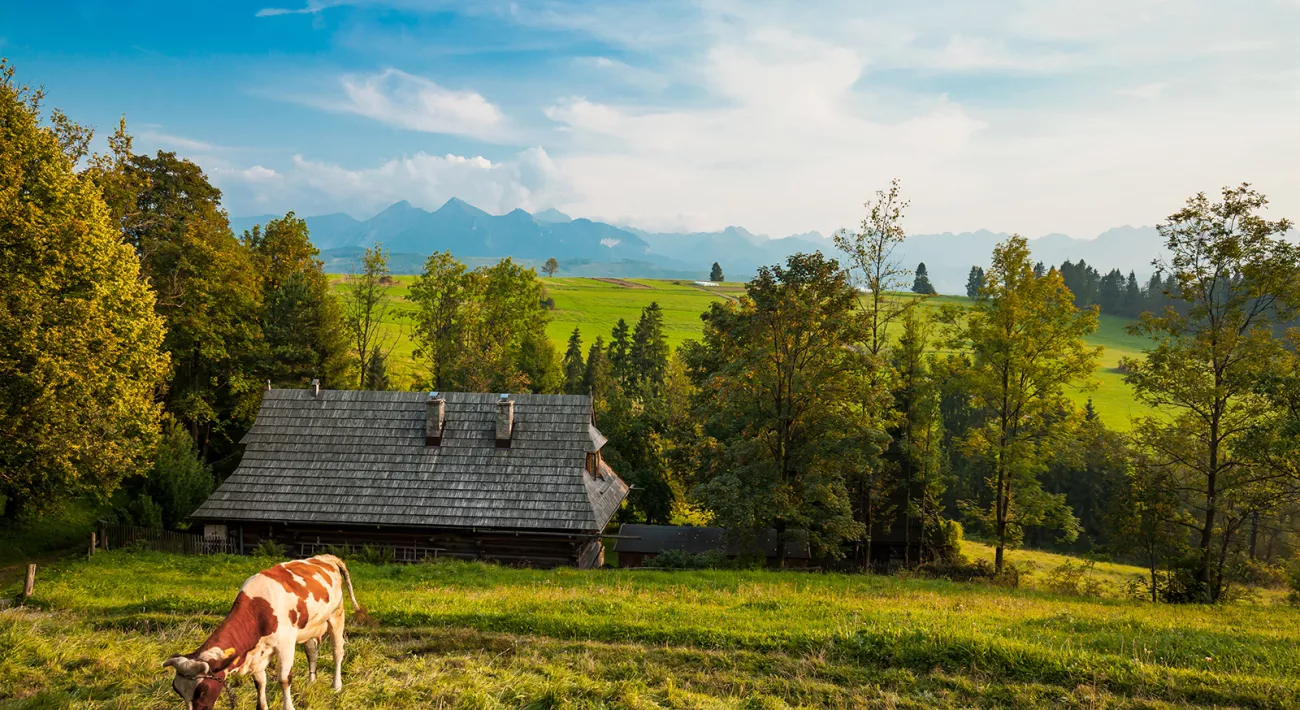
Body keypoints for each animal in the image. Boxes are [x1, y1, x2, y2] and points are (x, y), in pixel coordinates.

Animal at [166, 551, 366, 707]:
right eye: (178, 690)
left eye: (202, 690)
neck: (258, 608)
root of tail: (325, 557)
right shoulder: (258, 652)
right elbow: (259, 682)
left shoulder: (285, 645)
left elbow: (284, 680)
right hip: (307, 628)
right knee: (312, 652)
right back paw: (311, 681)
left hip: (337, 616)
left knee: (337, 651)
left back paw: (337, 686)